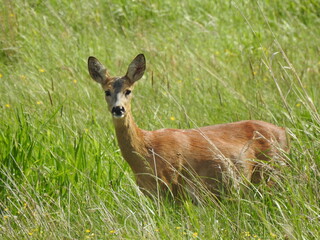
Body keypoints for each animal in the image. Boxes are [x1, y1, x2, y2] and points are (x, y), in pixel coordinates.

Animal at [88, 53, 290, 200]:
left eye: (128, 91)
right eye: (107, 91)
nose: (118, 109)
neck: (146, 150)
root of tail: (284, 132)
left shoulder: (172, 185)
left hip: (272, 171)